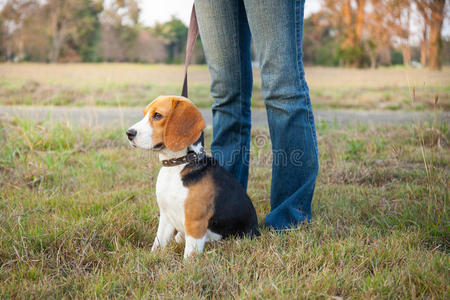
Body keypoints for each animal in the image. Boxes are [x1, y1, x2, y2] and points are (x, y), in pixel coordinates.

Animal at [126, 95, 260, 258]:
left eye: (157, 115)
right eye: (145, 114)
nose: (129, 133)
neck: (177, 166)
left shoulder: (195, 223)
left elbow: (189, 257)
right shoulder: (165, 216)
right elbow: (158, 244)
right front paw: (152, 258)